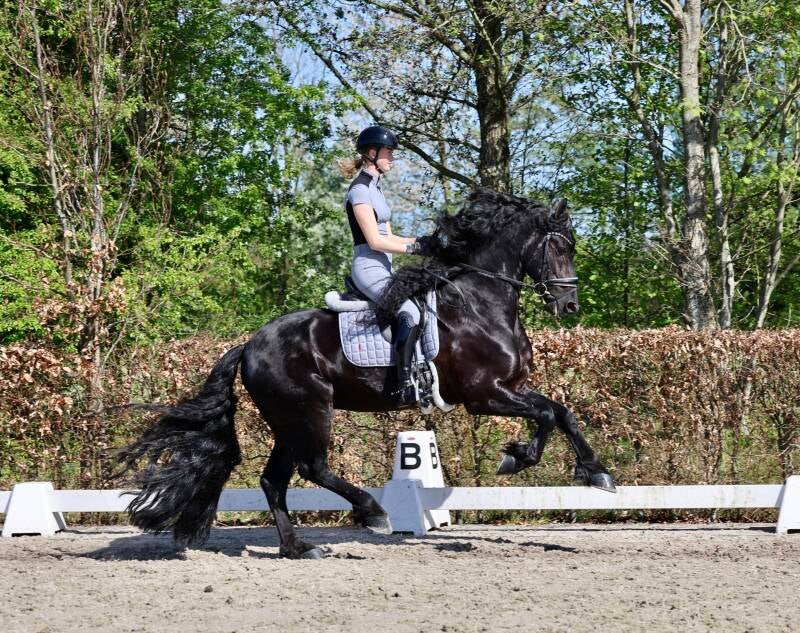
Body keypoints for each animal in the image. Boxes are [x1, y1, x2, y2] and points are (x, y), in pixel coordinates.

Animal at [117, 188, 615, 559]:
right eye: (561, 247)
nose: (569, 306)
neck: (481, 303)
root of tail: (248, 344)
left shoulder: (513, 387)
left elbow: (562, 413)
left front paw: (595, 473)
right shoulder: (484, 396)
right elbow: (547, 416)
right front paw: (518, 457)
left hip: (287, 421)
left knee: (274, 480)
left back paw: (298, 548)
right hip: (310, 410)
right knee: (313, 467)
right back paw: (373, 512)